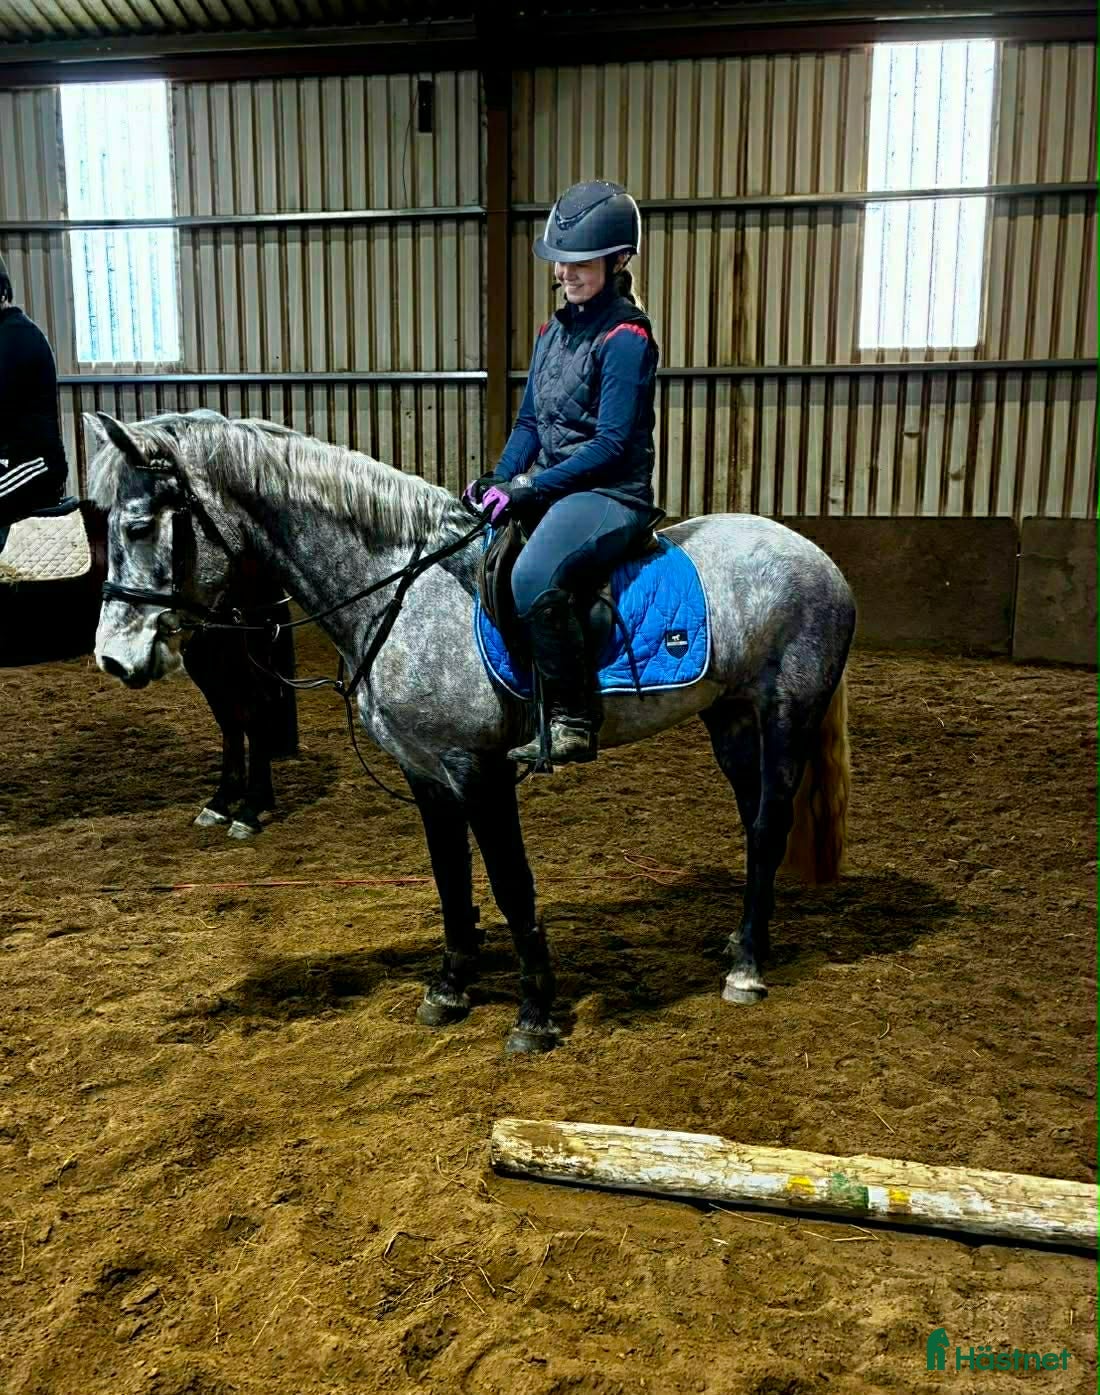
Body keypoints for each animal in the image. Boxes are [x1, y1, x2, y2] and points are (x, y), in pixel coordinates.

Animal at [87, 408, 855, 1055]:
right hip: (729, 715)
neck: (400, 590)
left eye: (138, 527)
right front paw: (451, 986)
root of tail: (816, 555)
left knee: (770, 824)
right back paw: (740, 941)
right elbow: (450, 878)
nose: (114, 658)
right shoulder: (425, 770)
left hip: (786, 712)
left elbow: (511, 883)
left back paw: (748, 968)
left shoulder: (478, 770)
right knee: (753, 820)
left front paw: (535, 1014)